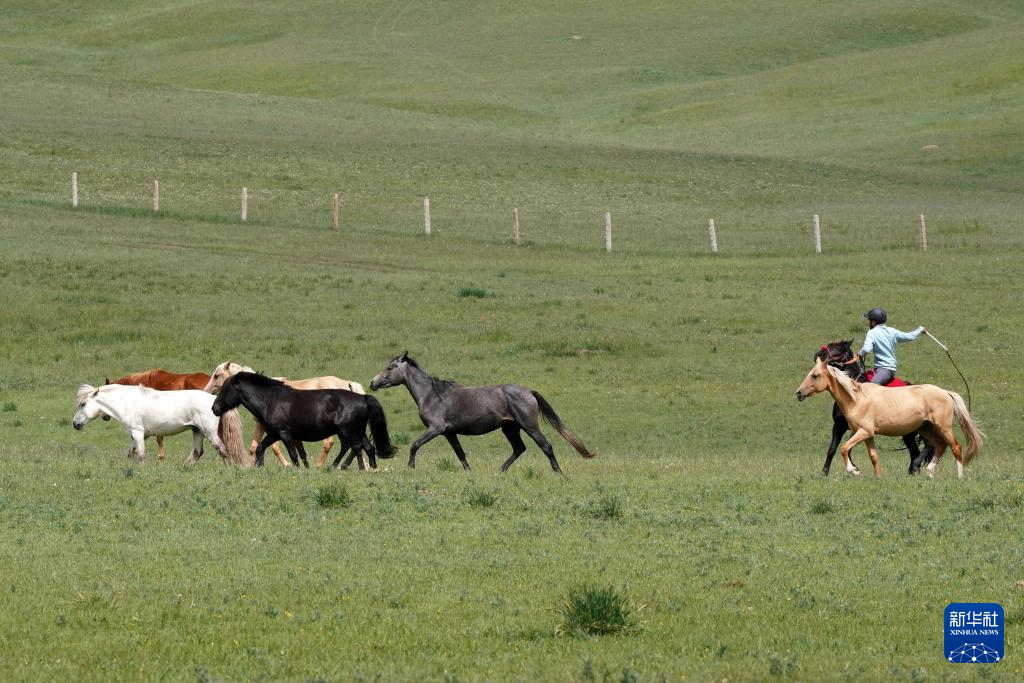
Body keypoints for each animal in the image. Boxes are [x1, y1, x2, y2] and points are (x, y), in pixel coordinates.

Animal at [74, 385, 249, 464]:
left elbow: (140, 455)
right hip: (197, 431)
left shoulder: (138, 432)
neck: (126, 403)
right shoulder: (141, 435)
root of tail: (214, 401)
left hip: (209, 432)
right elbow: (131, 453)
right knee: (197, 453)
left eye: (83, 404)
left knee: (222, 450)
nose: (74, 423)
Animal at [204, 362, 368, 471]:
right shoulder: (266, 428)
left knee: (335, 444)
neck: (267, 397)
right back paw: (359, 466)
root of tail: (347, 383)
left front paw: (289, 465)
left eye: (217, 375)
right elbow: (256, 447)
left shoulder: (279, 431)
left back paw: (325, 465)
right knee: (352, 446)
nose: (213, 407)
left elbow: (277, 449)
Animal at [370, 352, 598, 471]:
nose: (372, 382)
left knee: (546, 446)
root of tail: (529, 392)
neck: (432, 395)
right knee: (519, 448)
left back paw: (558, 473)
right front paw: (469, 472)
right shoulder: (449, 433)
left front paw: (410, 467)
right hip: (510, 428)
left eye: (390, 367)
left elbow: (414, 445)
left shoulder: (435, 429)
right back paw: (500, 471)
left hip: (529, 426)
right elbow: (460, 453)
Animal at [794, 356, 978, 479]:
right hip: (925, 428)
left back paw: (959, 477)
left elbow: (844, 448)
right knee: (938, 446)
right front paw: (878, 477)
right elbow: (873, 456)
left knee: (955, 447)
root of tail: (946, 392)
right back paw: (928, 472)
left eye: (815, 375)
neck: (857, 398)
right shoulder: (867, 434)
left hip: (942, 427)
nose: (799, 393)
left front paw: (854, 471)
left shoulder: (863, 432)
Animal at [815, 339, 937, 475]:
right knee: (914, 450)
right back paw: (913, 472)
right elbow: (832, 449)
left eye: (838, 349)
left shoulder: (860, 428)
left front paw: (854, 468)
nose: (819, 354)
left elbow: (848, 447)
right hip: (908, 431)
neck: (850, 394)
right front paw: (825, 472)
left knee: (929, 445)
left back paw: (915, 467)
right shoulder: (838, 426)